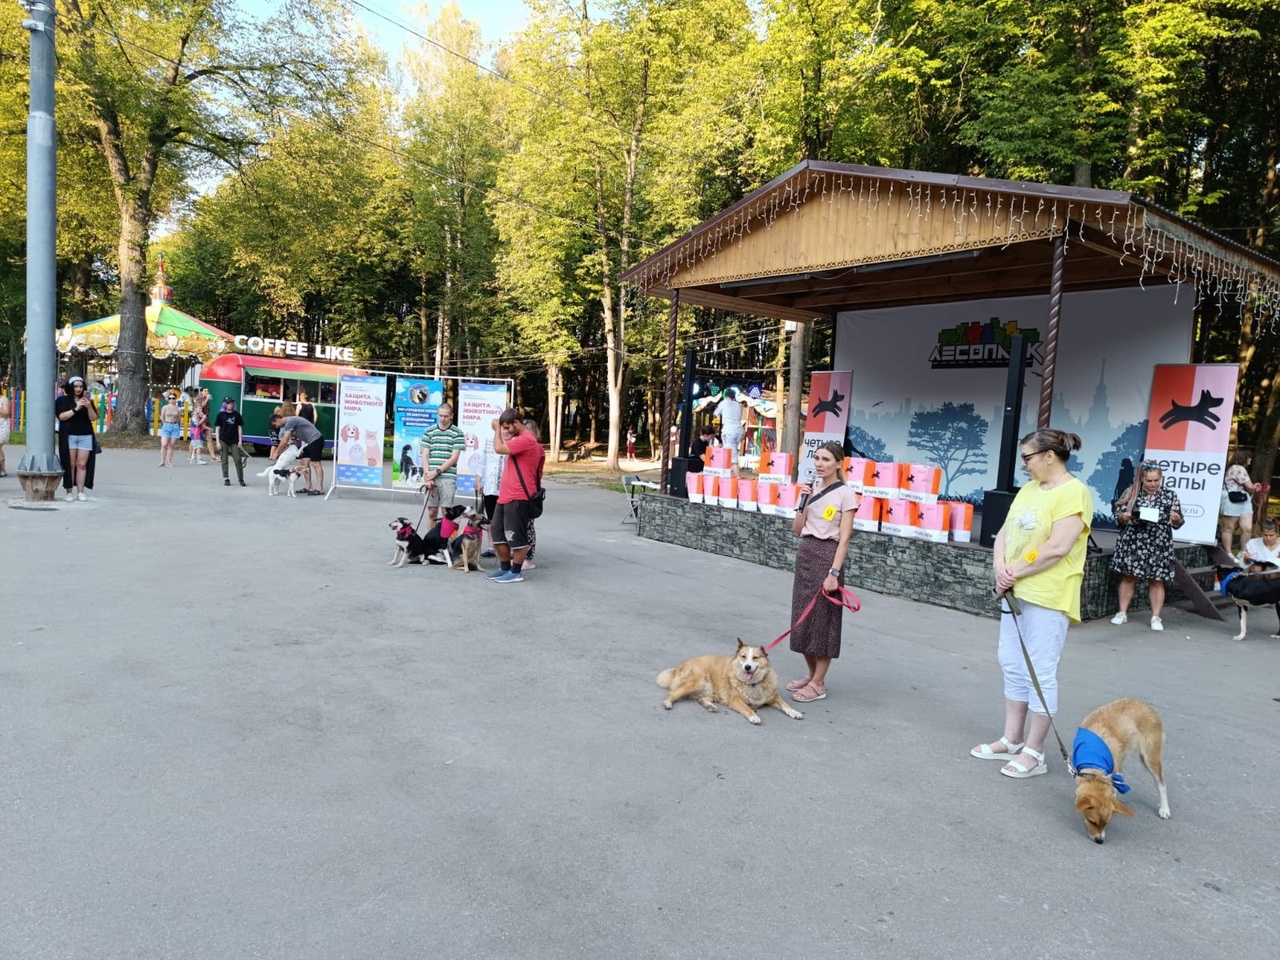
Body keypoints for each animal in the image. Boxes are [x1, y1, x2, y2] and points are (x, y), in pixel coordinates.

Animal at [655, 642, 803, 727]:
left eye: (755, 657)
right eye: (743, 656)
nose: (747, 667)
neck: (753, 684)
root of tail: (679, 666)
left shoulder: (773, 697)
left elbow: (786, 705)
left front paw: (794, 712)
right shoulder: (735, 700)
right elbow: (747, 708)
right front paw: (754, 716)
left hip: (713, 691)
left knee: (701, 699)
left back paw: (710, 706)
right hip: (698, 682)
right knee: (673, 692)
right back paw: (668, 702)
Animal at [1070, 701, 1172, 849]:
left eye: (1107, 823)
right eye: (1092, 821)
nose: (1100, 841)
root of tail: (1145, 704)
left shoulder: (1114, 771)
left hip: (1149, 758)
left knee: (1161, 784)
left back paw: (1164, 808)